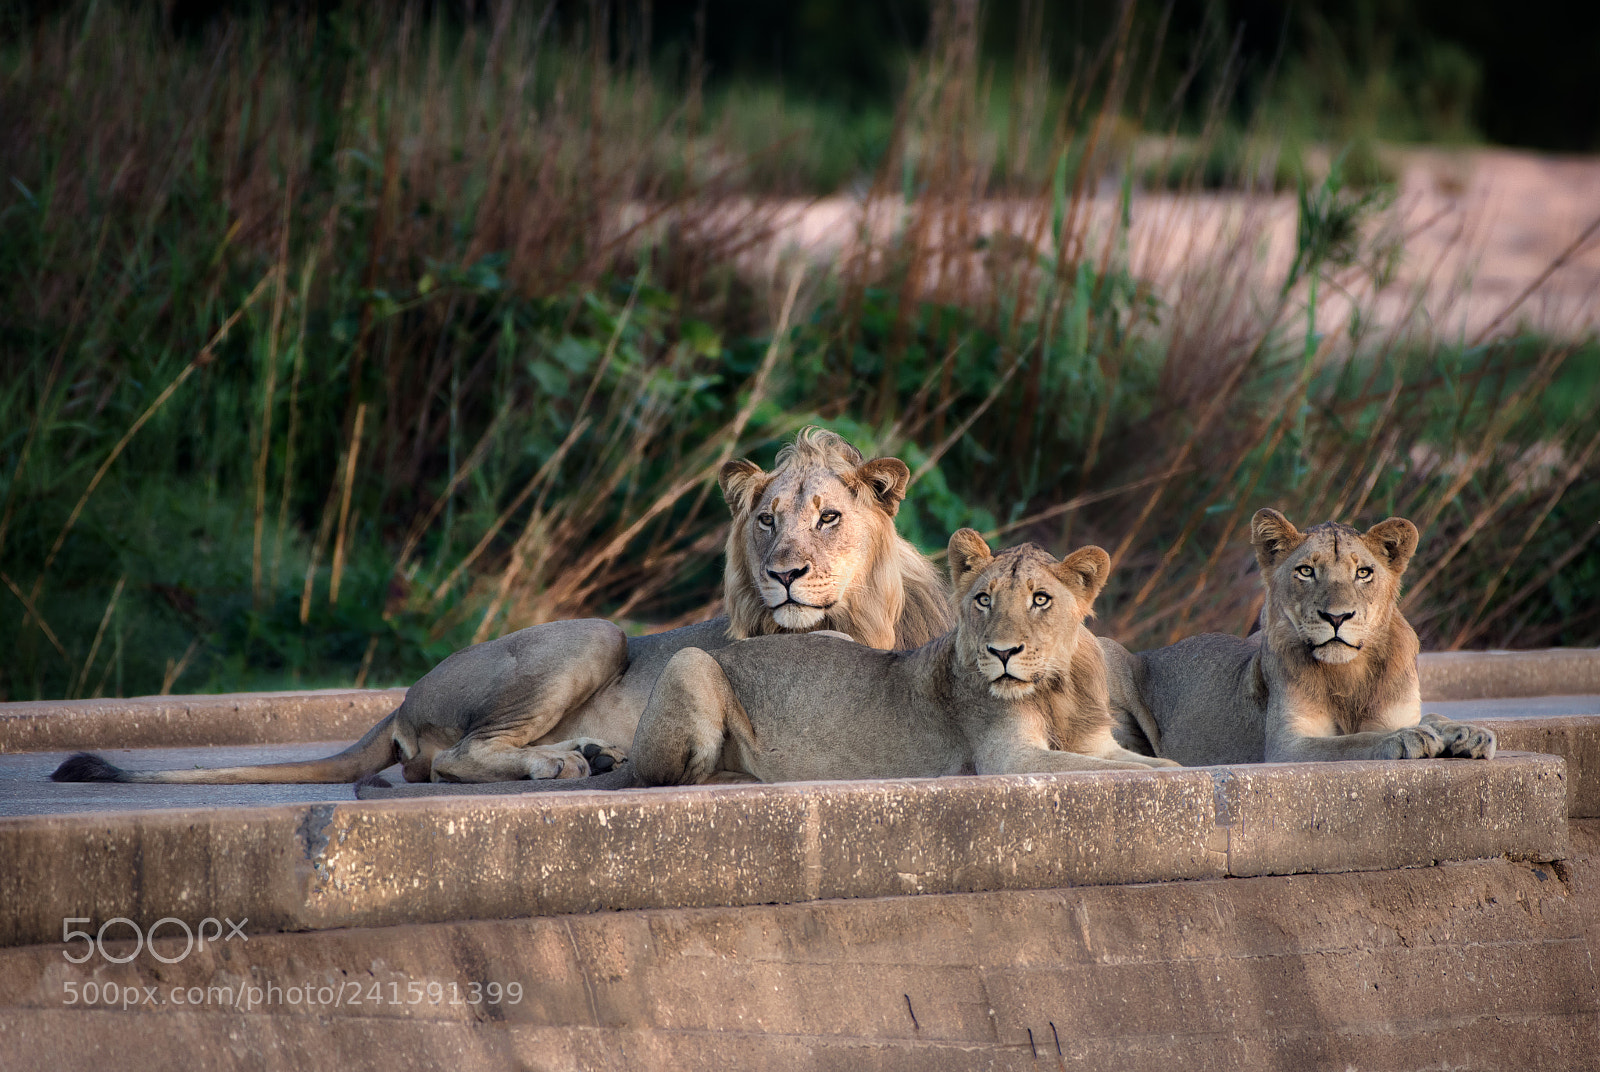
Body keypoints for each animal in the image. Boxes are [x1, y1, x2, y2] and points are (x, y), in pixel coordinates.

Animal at [52, 428, 953, 787]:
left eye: (828, 518)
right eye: (766, 518)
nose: (783, 574)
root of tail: (402, 699)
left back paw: (587, 755)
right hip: (594, 632)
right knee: (452, 758)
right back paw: (560, 763)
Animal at [630, 529, 1179, 786]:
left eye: (1040, 599)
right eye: (984, 599)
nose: (1002, 653)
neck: (1057, 688)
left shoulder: (1096, 745)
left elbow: (1157, 762)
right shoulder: (1009, 759)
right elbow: (1119, 771)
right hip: (691, 660)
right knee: (665, 776)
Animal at [1100, 508, 1497, 766]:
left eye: (1364, 573)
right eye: (1306, 571)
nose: (1336, 617)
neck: (1348, 672)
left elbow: (1430, 715)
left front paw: (1467, 733)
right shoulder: (1287, 747)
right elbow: (1352, 741)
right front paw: (1404, 738)